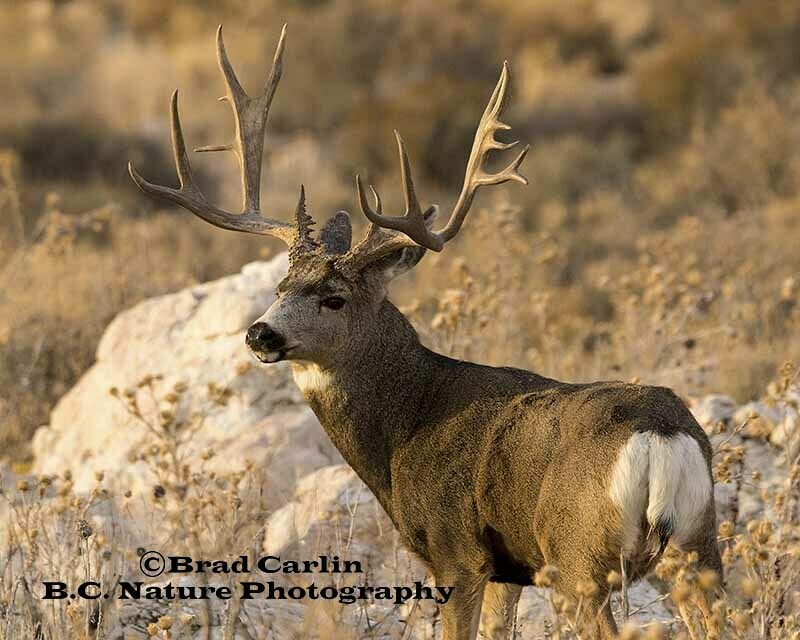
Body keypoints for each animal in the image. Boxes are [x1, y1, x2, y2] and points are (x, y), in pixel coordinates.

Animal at [129, 24, 721, 640]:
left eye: (334, 298)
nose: (259, 334)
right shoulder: (509, 570)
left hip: (579, 556)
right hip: (698, 546)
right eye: (279, 286)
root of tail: (660, 436)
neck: (407, 423)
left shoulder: (455, 549)